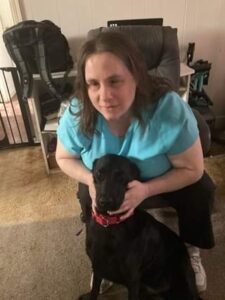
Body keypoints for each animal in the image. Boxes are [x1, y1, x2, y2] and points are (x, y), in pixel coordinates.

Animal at [78, 155, 202, 300]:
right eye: (99, 174)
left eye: (122, 177)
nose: (105, 202)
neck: (110, 224)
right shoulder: (97, 266)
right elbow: (94, 290)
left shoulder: (133, 279)